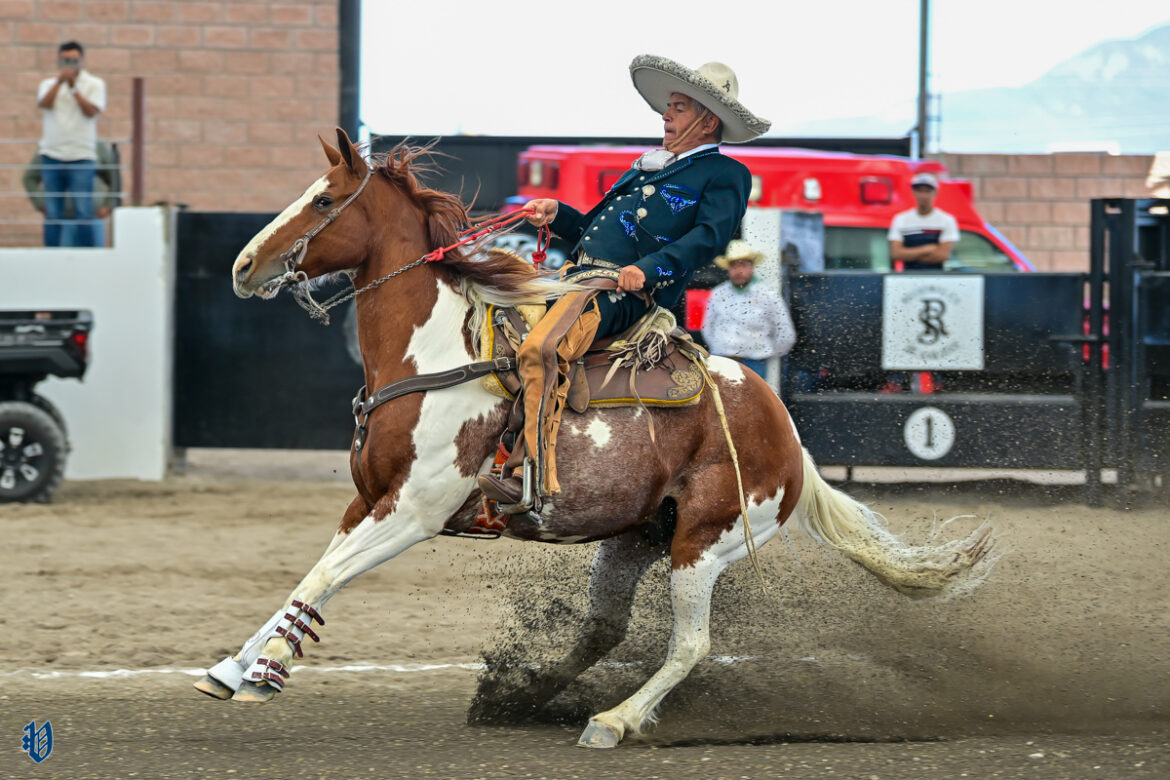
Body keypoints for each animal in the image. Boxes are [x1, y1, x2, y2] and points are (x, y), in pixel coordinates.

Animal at [198, 128, 995, 749]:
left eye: (324, 201)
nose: (243, 266)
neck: (433, 355)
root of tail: (784, 425)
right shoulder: (369, 500)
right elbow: (310, 575)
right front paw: (233, 667)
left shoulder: (415, 512)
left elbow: (324, 578)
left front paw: (266, 672)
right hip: (632, 539)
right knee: (602, 631)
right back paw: (519, 700)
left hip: (706, 540)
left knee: (692, 642)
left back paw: (613, 720)